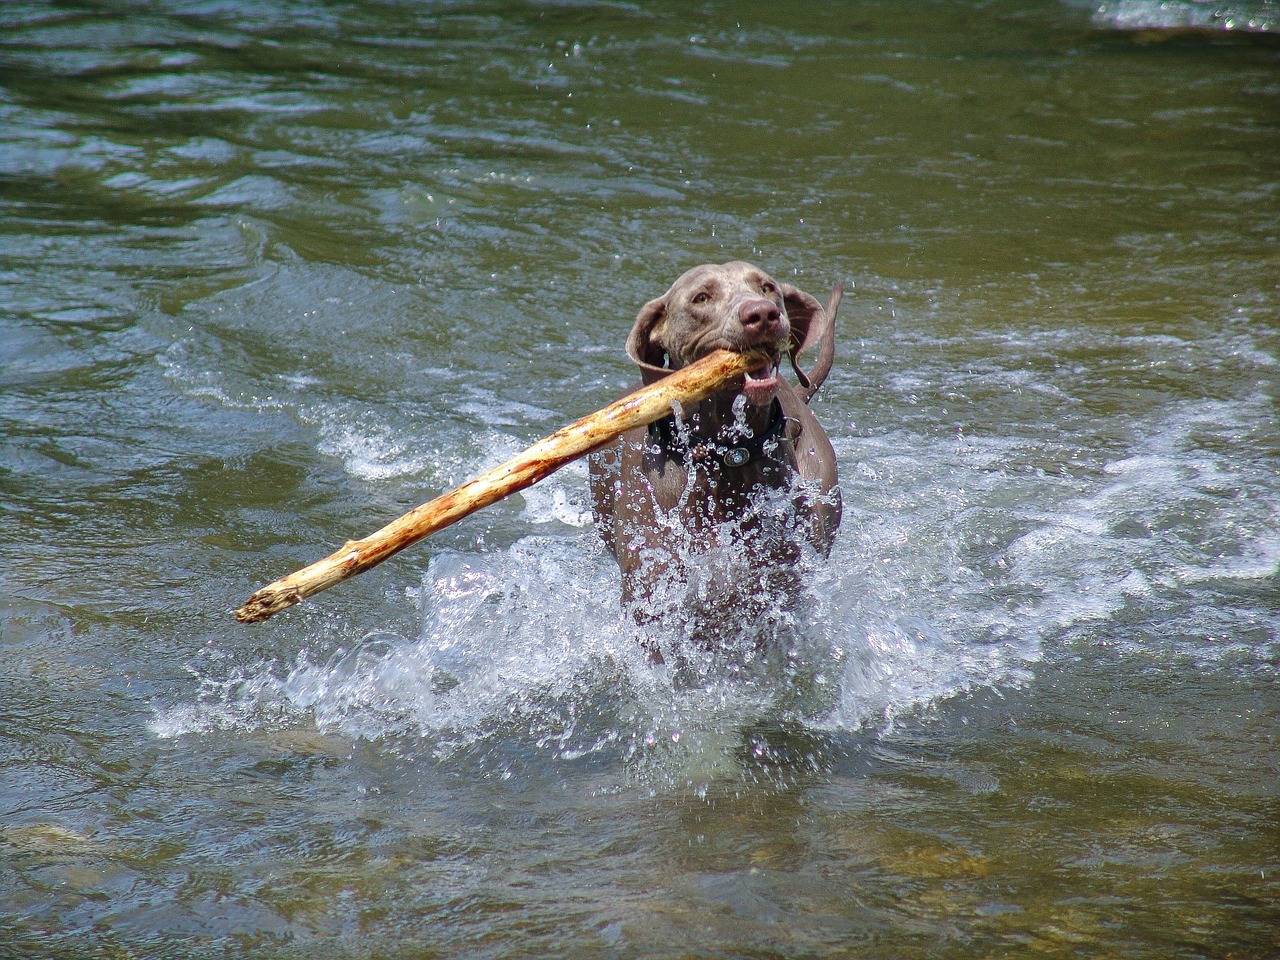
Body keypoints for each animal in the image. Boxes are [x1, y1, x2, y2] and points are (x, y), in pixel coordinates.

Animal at [586, 259, 839, 660]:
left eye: (767, 287)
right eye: (701, 298)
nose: (762, 314)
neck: (723, 457)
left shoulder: (774, 582)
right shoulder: (650, 591)